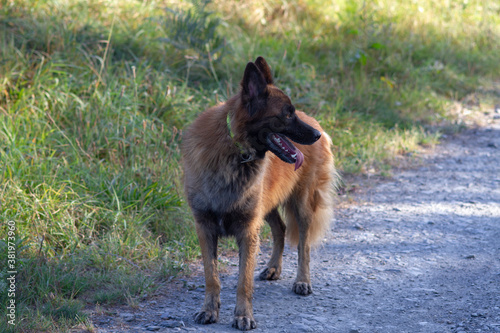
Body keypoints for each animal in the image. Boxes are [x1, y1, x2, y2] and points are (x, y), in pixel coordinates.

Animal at [182, 55, 338, 328]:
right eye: (287, 114)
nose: (317, 135)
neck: (234, 148)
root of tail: (316, 120)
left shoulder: (248, 229)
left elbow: (243, 281)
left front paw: (243, 315)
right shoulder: (205, 227)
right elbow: (211, 276)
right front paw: (209, 310)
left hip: (301, 206)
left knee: (304, 247)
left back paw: (302, 281)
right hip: (267, 207)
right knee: (281, 229)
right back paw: (274, 268)